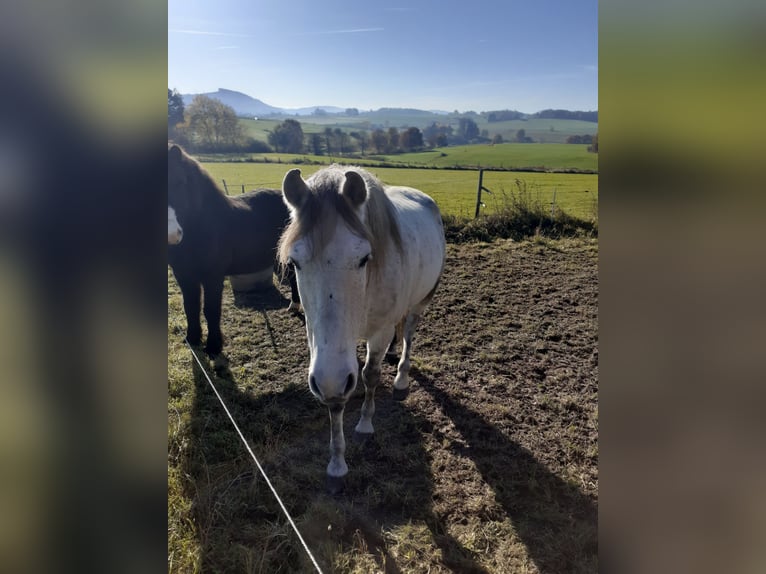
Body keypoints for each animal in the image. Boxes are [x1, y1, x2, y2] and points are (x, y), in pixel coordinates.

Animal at [168, 144, 299, 357]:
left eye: (180, 182)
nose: (172, 234)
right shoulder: (184, 275)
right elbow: (190, 307)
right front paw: (192, 339)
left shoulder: (212, 276)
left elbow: (211, 310)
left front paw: (213, 347)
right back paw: (294, 306)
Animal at [278, 164, 446, 492]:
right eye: (295, 262)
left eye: (364, 259)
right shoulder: (325, 356)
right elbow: (336, 401)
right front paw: (337, 464)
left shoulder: (376, 334)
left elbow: (369, 376)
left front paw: (366, 425)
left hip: (421, 301)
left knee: (408, 334)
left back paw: (401, 378)